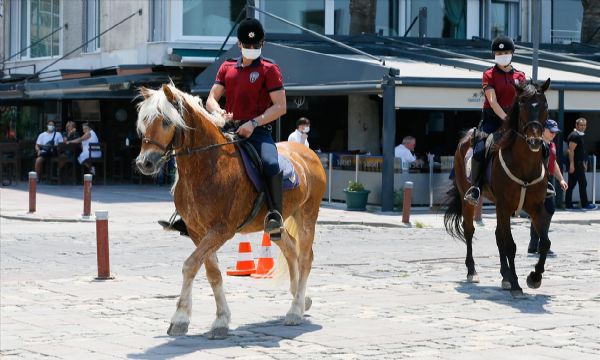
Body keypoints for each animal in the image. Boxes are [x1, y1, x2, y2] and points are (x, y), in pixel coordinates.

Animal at [135, 83, 326, 338]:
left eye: (166, 121)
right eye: (144, 121)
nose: (144, 163)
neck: (208, 166)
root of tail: (308, 153)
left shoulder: (221, 230)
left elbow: (190, 265)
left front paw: (180, 317)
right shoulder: (198, 232)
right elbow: (212, 273)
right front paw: (220, 320)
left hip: (307, 215)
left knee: (305, 257)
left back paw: (295, 311)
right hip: (276, 224)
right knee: (290, 249)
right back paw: (301, 299)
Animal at [442, 79, 552, 298]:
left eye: (544, 106)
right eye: (522, 105)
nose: (535, 141)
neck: (525, 163)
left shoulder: (536, 207)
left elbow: (544, 242)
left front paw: (534, 277)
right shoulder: (503, 205)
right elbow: (510, 245)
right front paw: (517, 284)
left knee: (498, 236)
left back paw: (505, 276)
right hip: (469, 198)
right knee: (470, 230)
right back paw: (472, 271)